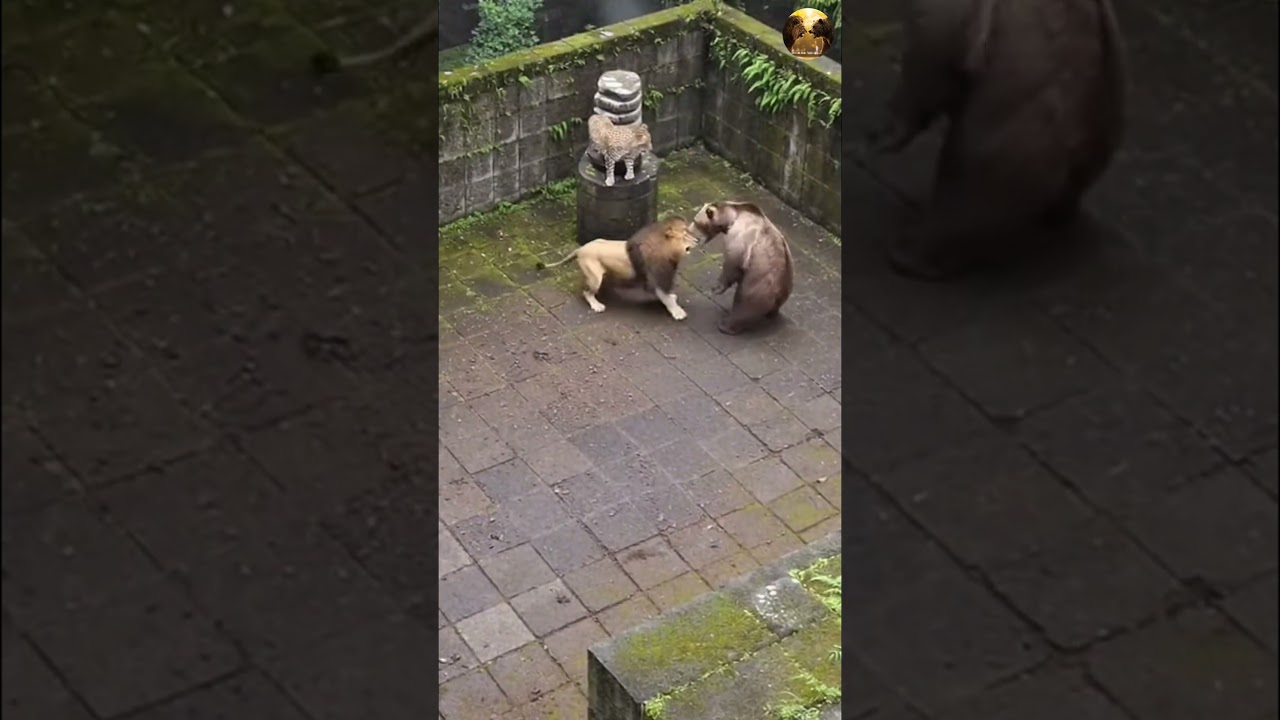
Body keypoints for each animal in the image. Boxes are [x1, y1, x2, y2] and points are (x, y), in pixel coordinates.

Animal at [536, 216, 698, 320]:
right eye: (685, 235)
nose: (697, 240)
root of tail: (580, 249)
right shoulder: (654, 277)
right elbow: (665, 296)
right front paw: (678, 312)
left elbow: (666, 294)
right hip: (595, 278)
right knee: (586, 292)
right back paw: (597, 305)